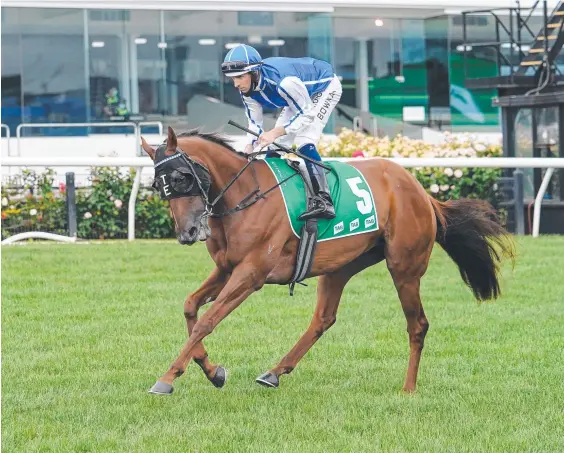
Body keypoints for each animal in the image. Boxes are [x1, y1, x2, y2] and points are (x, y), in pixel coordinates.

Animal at [141, 125, 516, 394]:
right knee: (323, 319)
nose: (187, 232)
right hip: (341, 266)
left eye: (181, 178)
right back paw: (274, 373)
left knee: (418, 324)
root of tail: (421, 191)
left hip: (404, 267)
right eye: (159, 186)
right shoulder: (226, 268)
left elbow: (207, 320)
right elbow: (190, 307)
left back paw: (408, 388)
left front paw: (167, 377)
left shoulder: (251, 273)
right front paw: (213, 371)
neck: (244, 195)